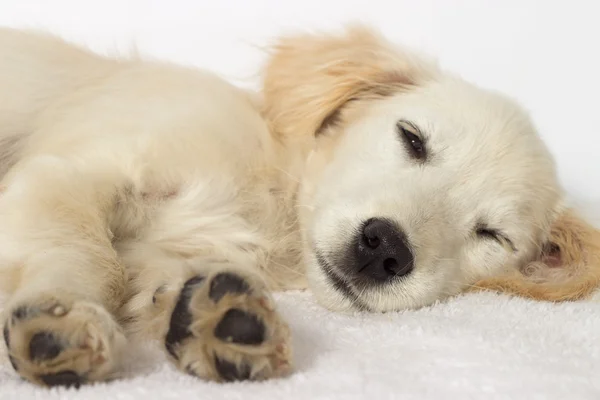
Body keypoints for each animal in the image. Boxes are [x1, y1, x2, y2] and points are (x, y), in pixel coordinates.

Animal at [0, 25, 596, 388]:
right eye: (412, 138)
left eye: (492, 234)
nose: (384, 248)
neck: (272, 208)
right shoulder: (68, 171)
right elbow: (85, 248)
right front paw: (62, 314)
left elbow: (148, 279)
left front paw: (217, 318)